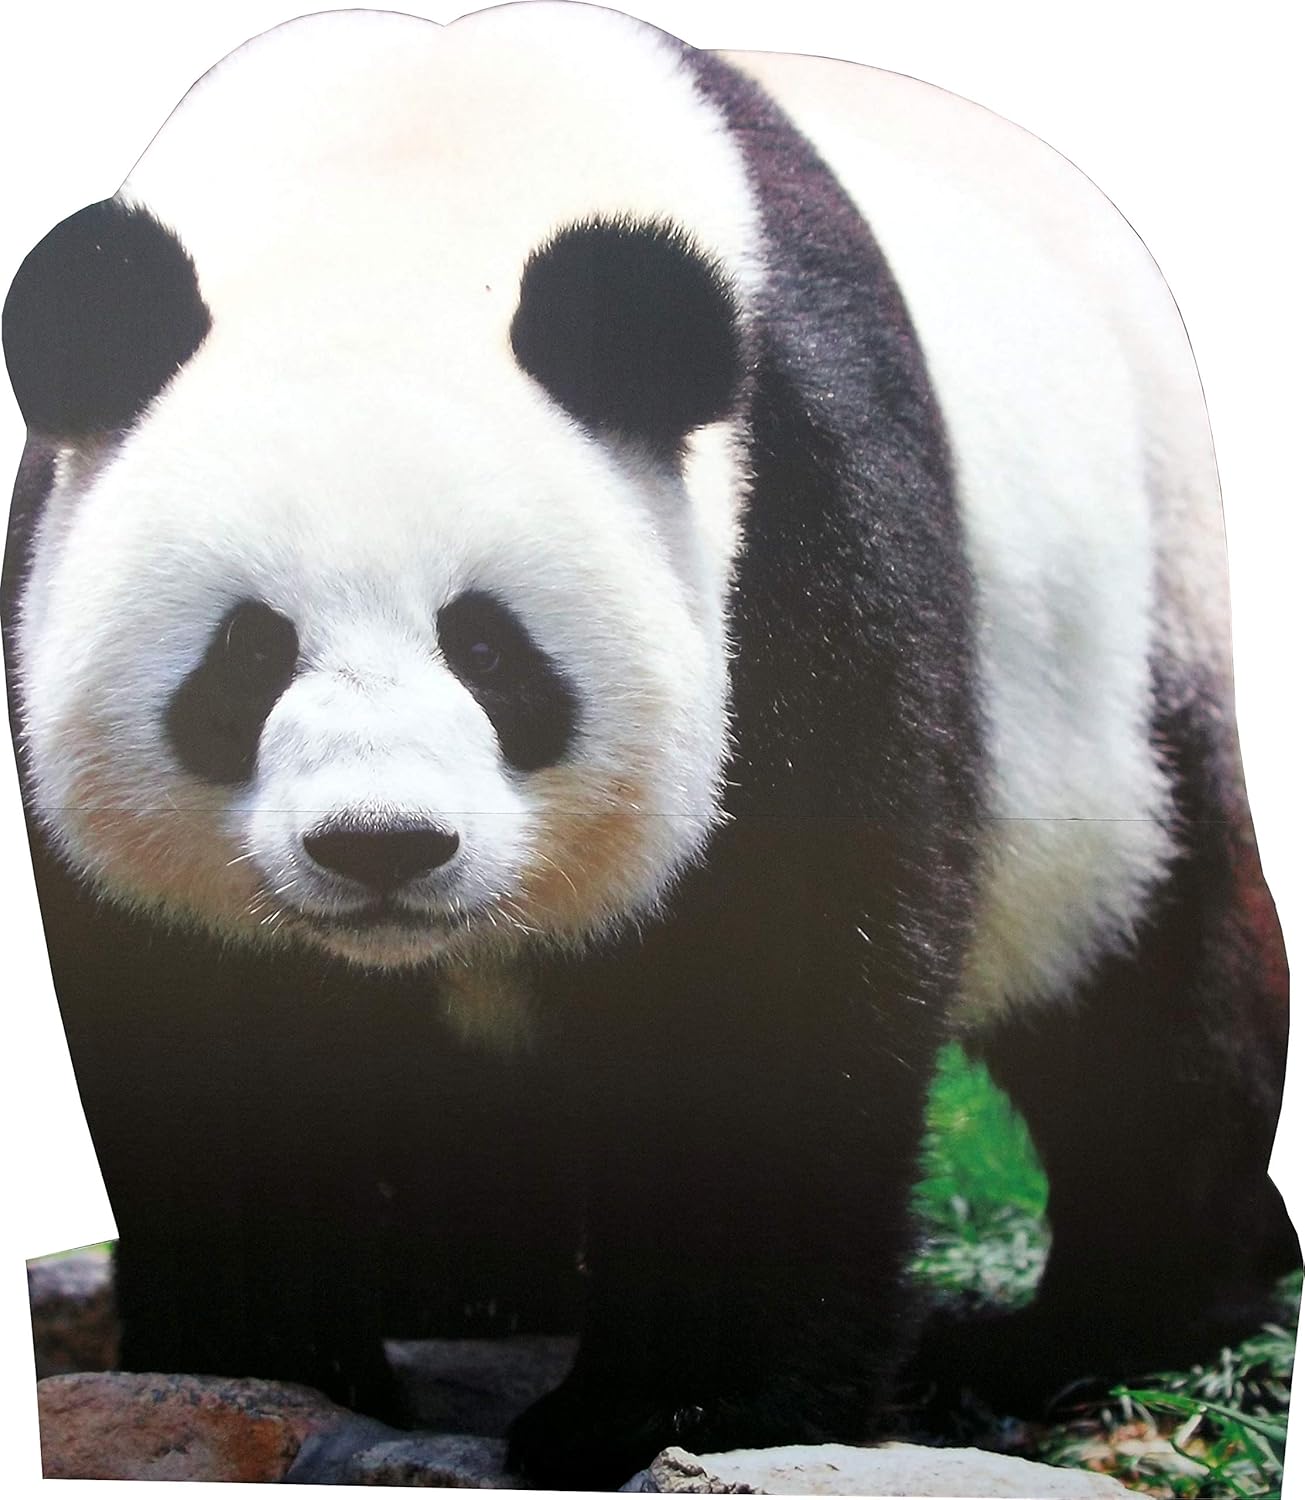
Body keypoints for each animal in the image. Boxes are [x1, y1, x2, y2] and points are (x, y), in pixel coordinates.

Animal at [2, 2, 1296, 1489]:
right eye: (249, 656)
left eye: (490, 649)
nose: (382, 847)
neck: (405, 194)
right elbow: (196, 1022)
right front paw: (257, 1361)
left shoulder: (791, 516)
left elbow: (776, 973)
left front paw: (686, 1409)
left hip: (1127, 645)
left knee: (1153, 981)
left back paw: (1099, 1327)